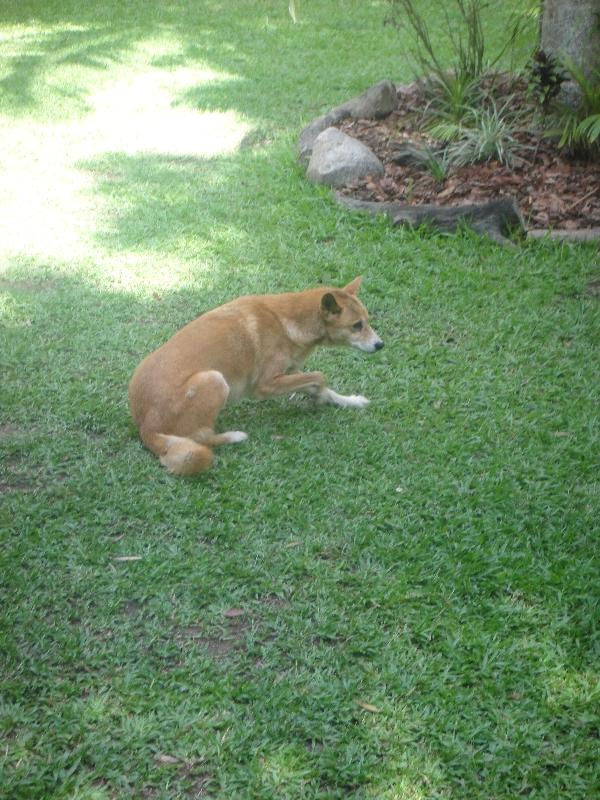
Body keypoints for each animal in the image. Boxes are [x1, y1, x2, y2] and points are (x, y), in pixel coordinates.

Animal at [131, 276, 384, 476]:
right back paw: (234, 436)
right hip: (215, 380)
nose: (380, 345)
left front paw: (349, 401)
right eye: (357, 325)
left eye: (367, 321)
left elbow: (320, 384)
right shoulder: (266, 385)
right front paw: (320, 398)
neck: (289, 321)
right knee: (200, 438)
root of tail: (146, 427)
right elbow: (321, 377)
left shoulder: (289, 373)